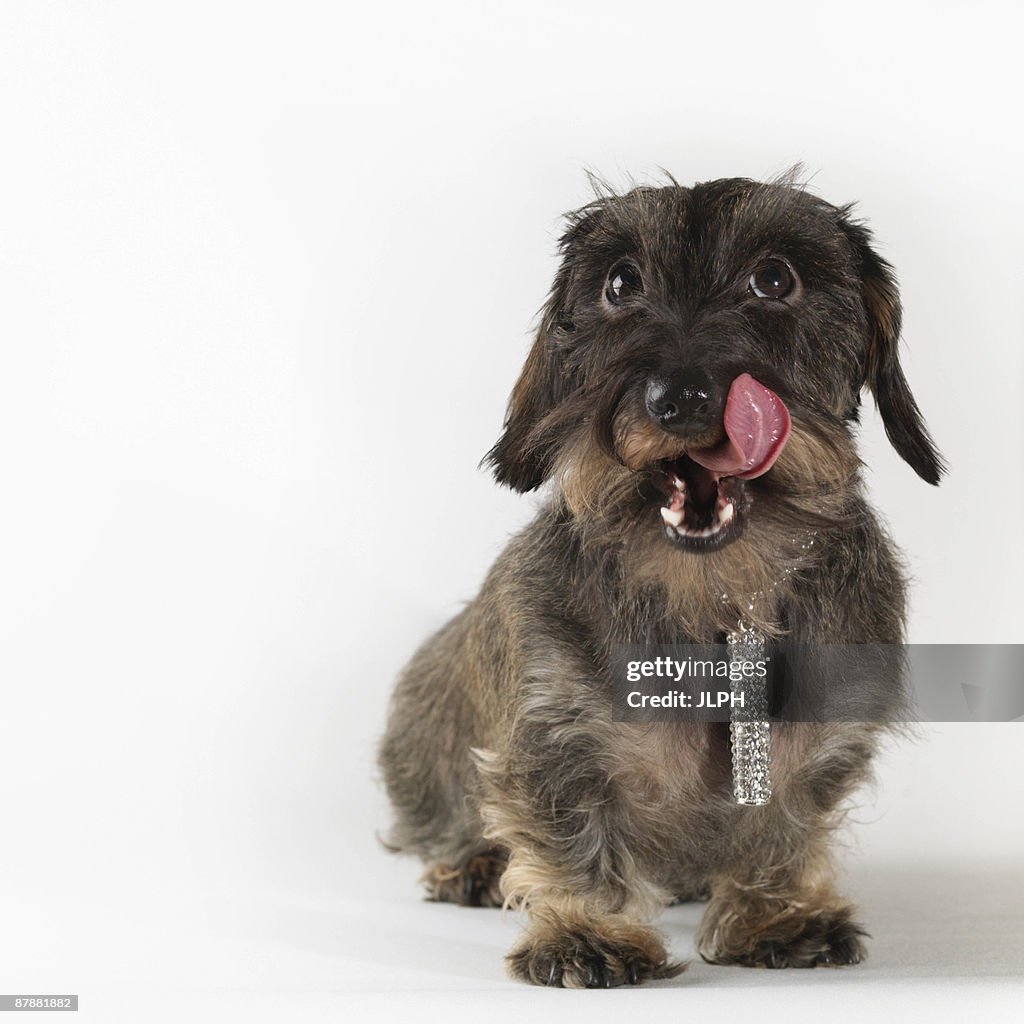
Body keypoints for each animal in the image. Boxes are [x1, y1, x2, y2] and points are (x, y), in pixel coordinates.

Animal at [378, 176, 942, 983]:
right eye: (620, 283)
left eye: (775, 279)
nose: (679, 398)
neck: (713, 608)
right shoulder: (557, 733)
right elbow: (573, 834)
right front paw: (588, 932)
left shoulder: (818, 742)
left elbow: (783, 824)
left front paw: (776, 917)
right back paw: (474, 866)